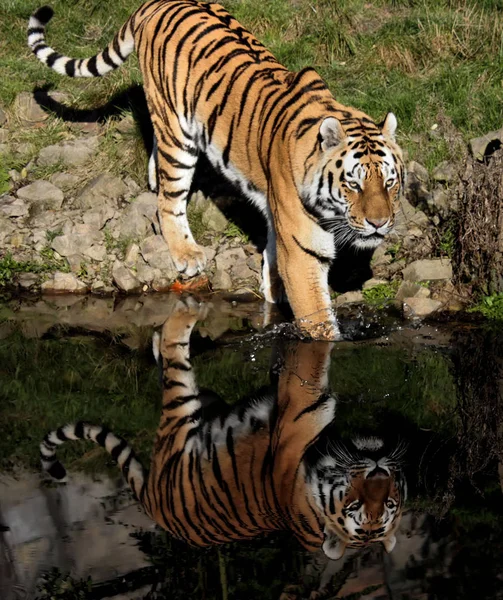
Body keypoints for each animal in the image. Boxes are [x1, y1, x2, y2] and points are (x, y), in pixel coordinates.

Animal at [27, 0, 406, 338]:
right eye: (354, 185)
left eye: (390, 183)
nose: (379, 222)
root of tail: (158, 2)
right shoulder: (303, 251)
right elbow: (318, 321)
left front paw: (272, 288)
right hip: (177, 130)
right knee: (169, 201)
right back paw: (187, 254)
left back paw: (153, 178)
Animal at [40, 298, 410, 560]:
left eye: (382, 506)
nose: (379, 470)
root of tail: (154, 505)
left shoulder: (298, 414)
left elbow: (309, 368)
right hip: (204, 402)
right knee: (169, 361)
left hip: (180, 413)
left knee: (174, 356)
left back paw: (187, 307)